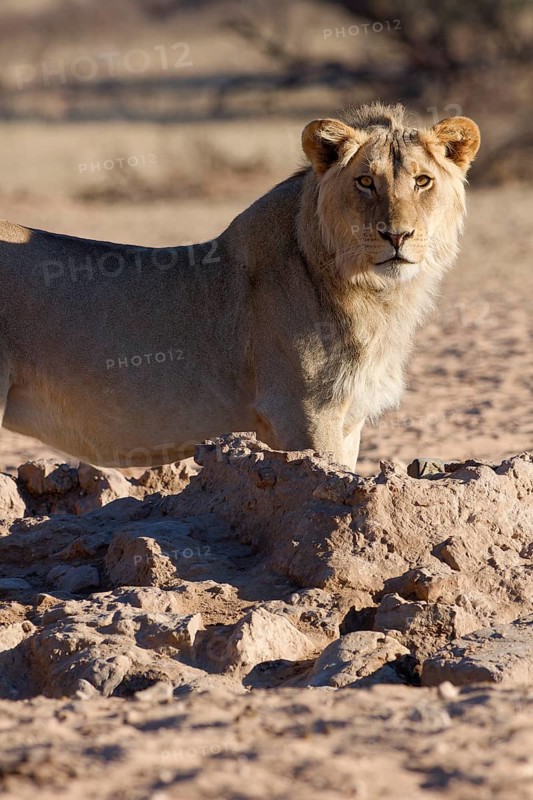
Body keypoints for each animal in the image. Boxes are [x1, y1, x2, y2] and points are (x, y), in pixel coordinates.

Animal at [0, 102, 479, 470]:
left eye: (422, 181)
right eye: (365, 181)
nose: (397, 236)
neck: (372, 291)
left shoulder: (347, 420)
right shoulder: (303, 413)